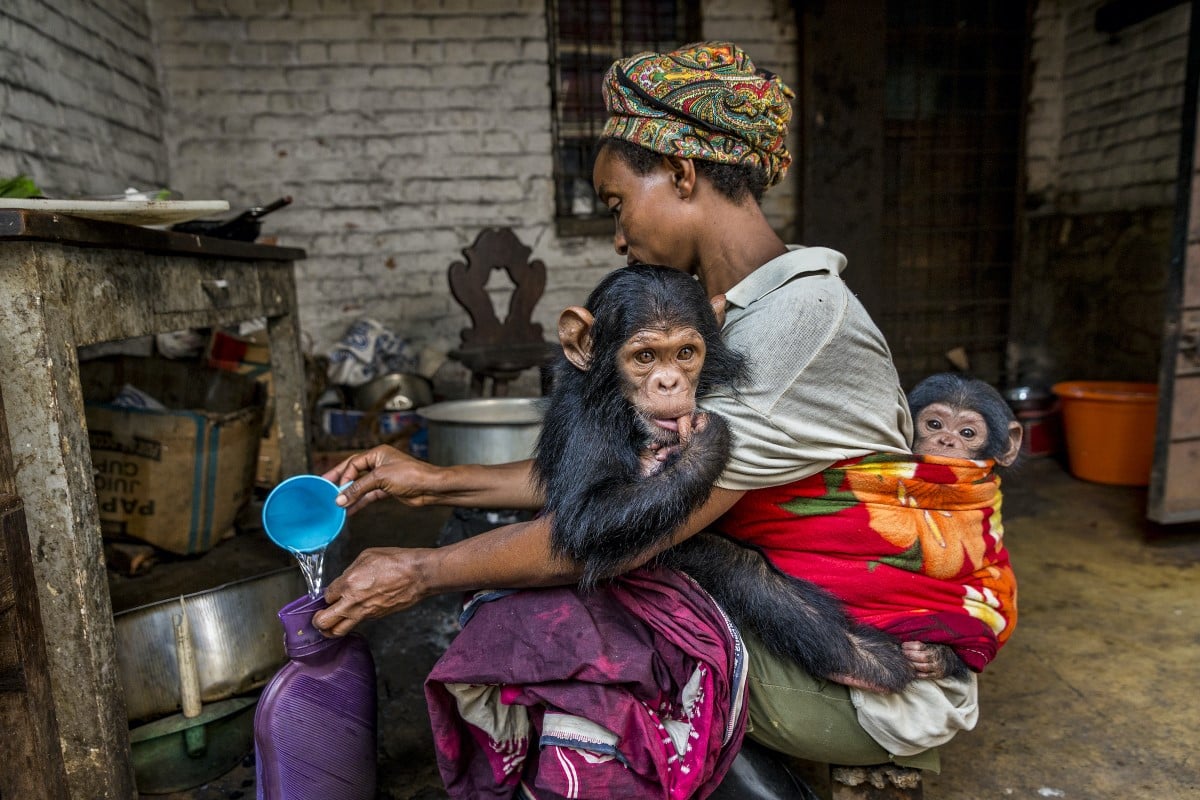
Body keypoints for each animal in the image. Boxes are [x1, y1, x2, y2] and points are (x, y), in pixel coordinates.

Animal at [535, 266, 916, 690]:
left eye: (685, 353)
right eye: (645, 357)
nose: (668, 383)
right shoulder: (585, 416)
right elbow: (587, 515)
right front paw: (705, 444)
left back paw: (866, 660)